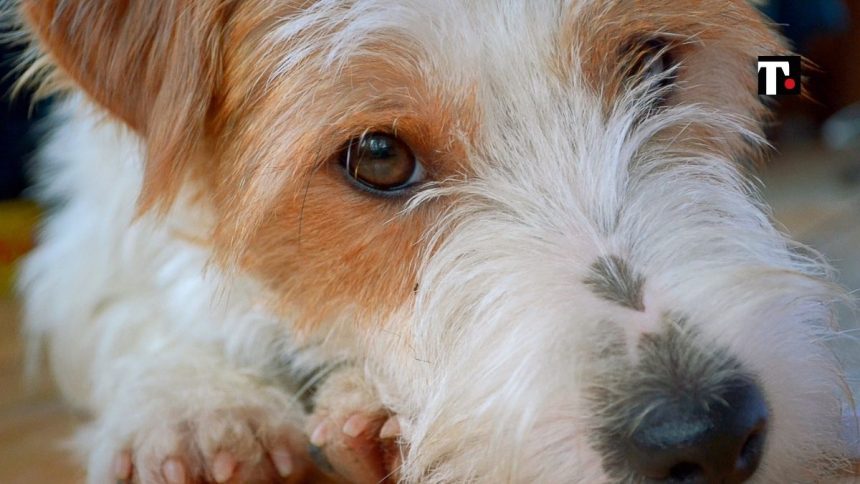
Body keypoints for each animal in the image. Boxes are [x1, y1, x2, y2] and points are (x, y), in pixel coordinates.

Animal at [10, 0, 856, 482]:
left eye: (652, 63)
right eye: (379, 156)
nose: (706, 434)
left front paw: (369, 415)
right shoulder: (84, 237)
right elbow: (130, 307)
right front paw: (197, 408)